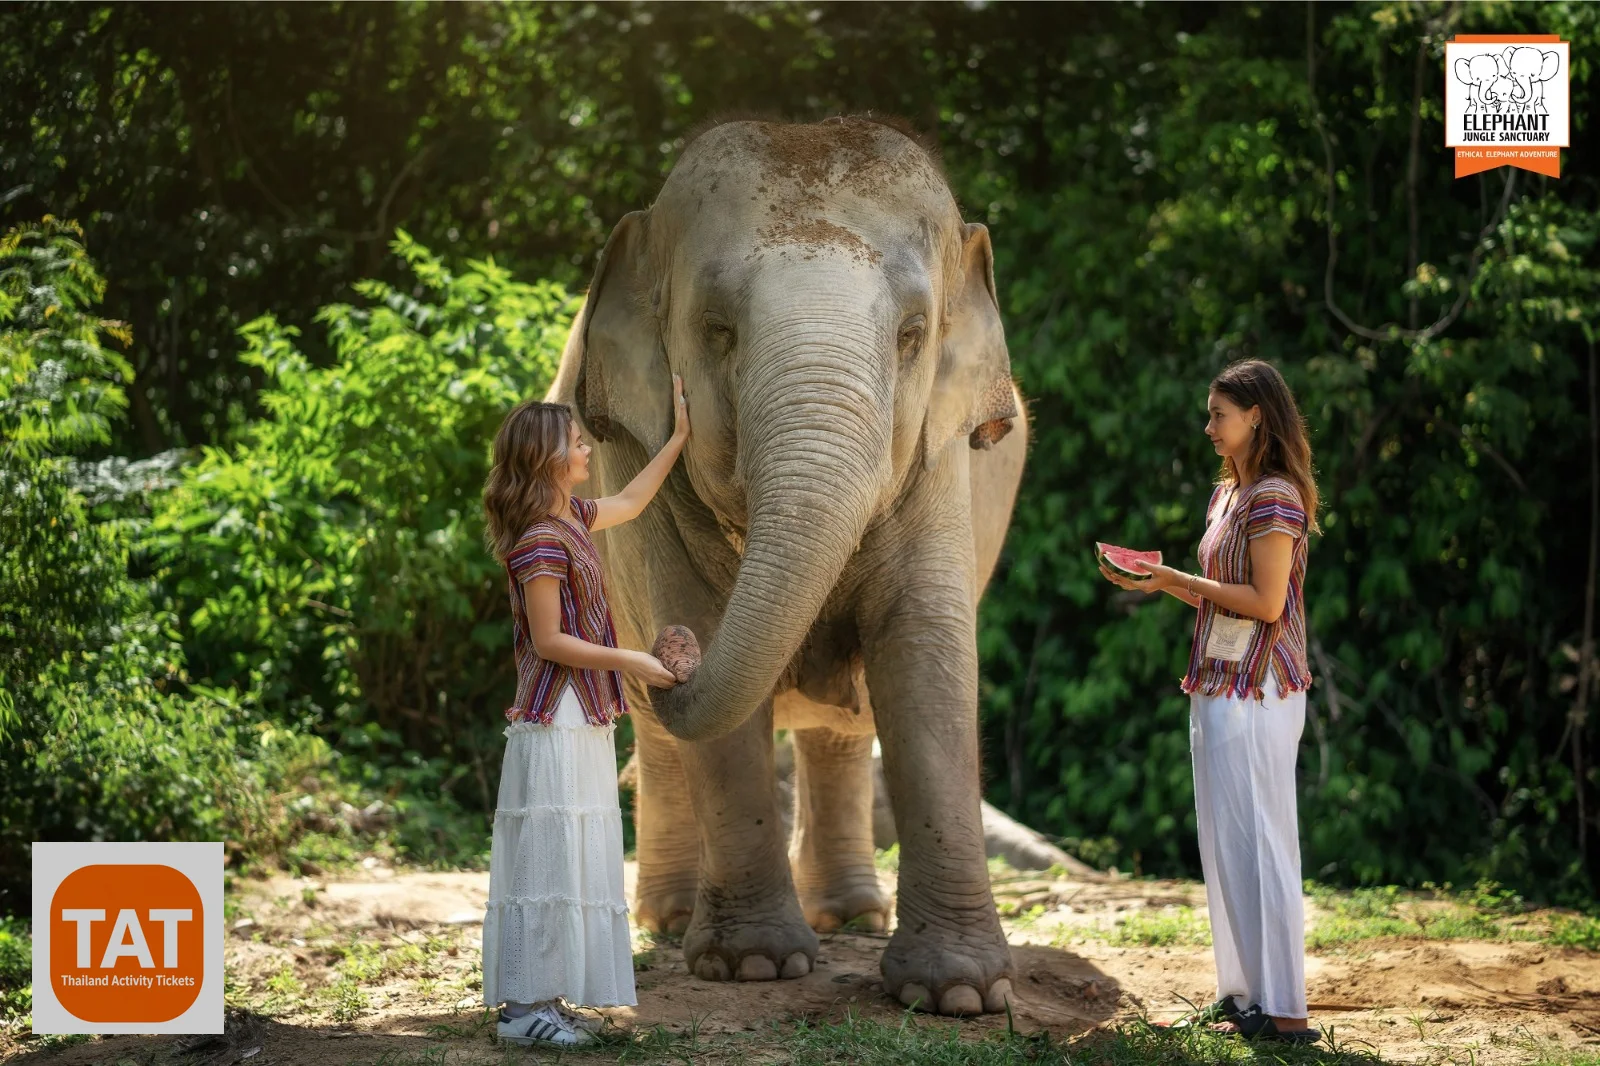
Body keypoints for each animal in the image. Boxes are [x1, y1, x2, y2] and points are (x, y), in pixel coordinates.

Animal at [541, 116, 1029, 1016]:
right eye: (717, 330)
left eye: (913, 335)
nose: (669, 654)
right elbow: (707, 649)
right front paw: (753, 967)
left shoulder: (941, 460)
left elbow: (924, 655)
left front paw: (961, 994)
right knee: (664, 736)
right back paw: (670, 919)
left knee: (844, 728)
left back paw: (853, 918)